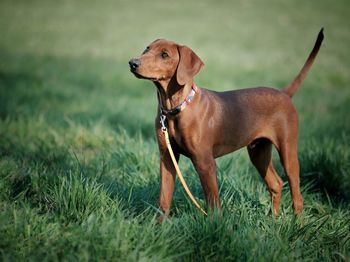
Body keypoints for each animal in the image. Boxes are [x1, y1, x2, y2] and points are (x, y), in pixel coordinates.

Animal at [130, 28, 324, 219]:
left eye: (164, 55)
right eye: (147, 49)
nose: (132, 63)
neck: (175, 108)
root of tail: (284, 94)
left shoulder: (205, 162)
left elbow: (213, 202)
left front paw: (215, 224)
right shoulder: (167, 157)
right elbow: (164, 199)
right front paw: (159, 225)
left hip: (287, 150)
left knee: (296, 192)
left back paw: (297, 223)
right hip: (258, 151)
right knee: (276, 183)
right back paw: (273, 220)